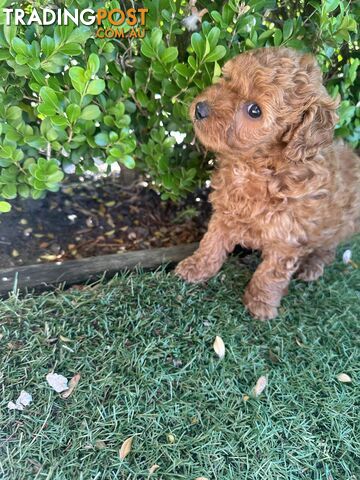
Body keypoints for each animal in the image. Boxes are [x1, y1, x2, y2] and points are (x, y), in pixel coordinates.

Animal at [176, 47, 360, 320]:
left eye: (255, 110)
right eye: (227, 79)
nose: (200, 109)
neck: (256, 166)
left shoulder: (288, 238)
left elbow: (271, 273)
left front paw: (260, 303)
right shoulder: (226, 212)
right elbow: (211, 243)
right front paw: (196, 267)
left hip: (338, 224)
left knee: (327, 249)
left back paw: (312, 266)